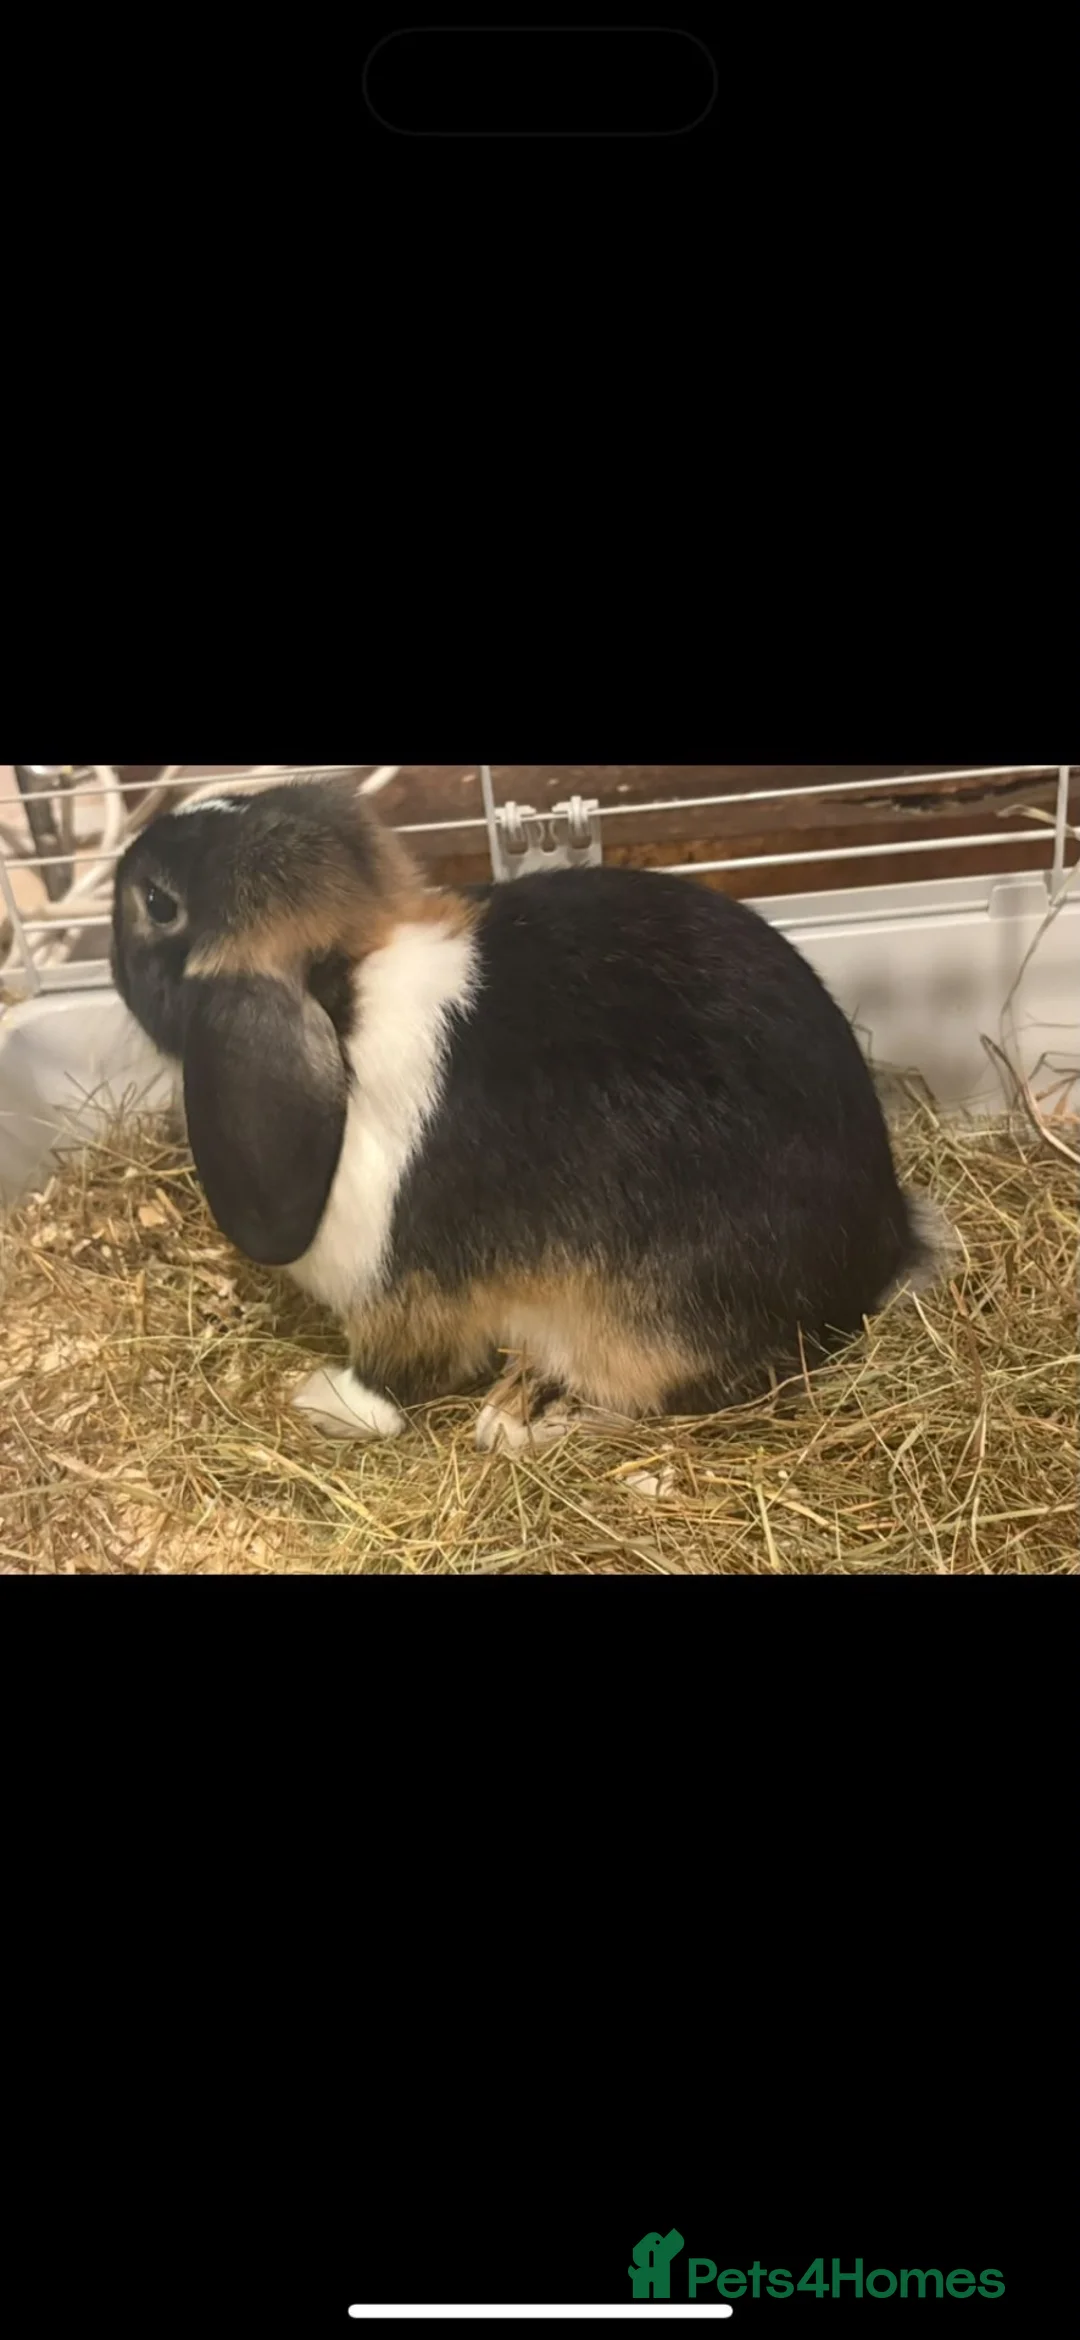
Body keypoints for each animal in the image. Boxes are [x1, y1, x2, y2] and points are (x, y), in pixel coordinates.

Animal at [111, 769, 951, 1452]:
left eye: (158, 904)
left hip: (639, 1328)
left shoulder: (403, 1287)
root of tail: (877, 1261)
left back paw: (526, 1426)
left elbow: (393, 1381)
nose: (125, 859)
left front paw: (318, 1400)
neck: (348, 996)